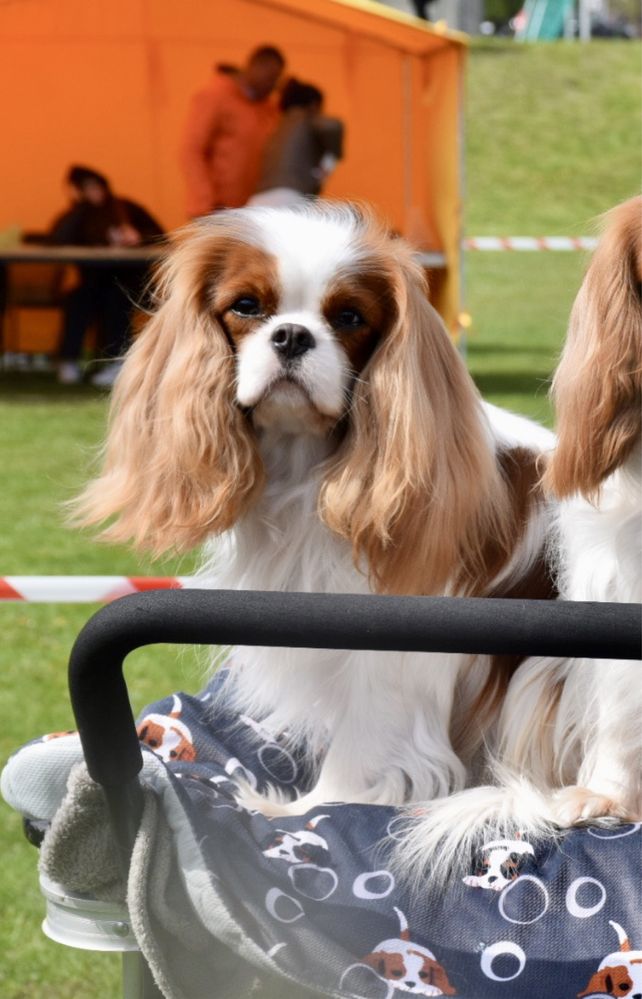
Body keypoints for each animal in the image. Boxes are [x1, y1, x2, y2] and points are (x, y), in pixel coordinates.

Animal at [75, 201, 552, 820]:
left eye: (349, 317)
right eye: (246, 307)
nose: (293, 335)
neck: (304, 468)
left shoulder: (391, 657)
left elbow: (358, 749)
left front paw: (301, 813)